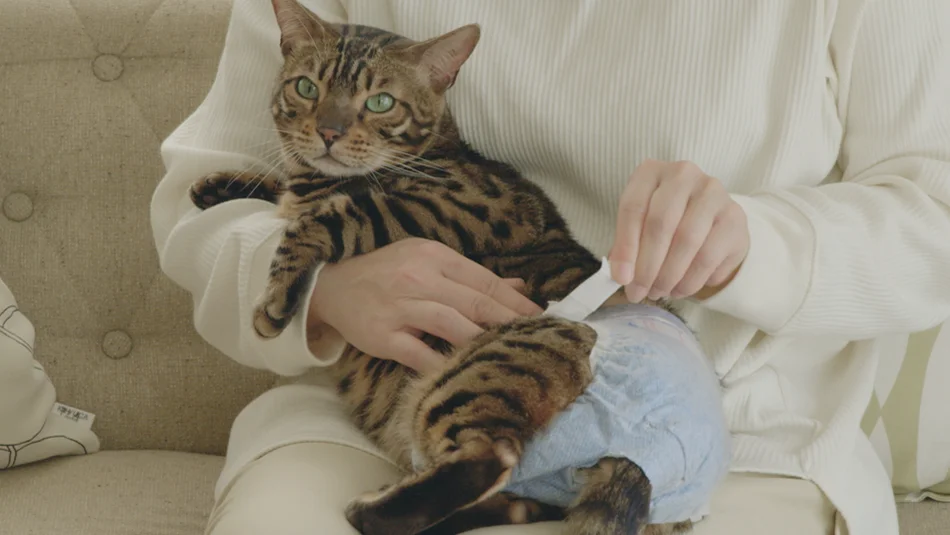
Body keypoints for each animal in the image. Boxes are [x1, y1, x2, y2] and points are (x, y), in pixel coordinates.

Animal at [188, 1, 692, 535]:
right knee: (509, 487)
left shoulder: (458, 206)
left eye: (380, 102)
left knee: (492, 453)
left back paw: (369, 509)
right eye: (306, 88)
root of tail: (641, 460)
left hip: (481, 369)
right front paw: (220, 185)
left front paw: (276, 299)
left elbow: (332, 217)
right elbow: (282, 191)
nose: (328, 132)